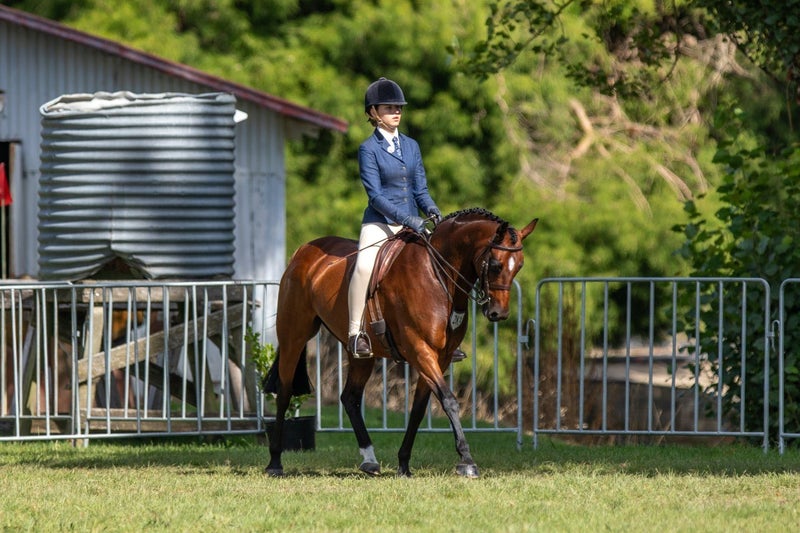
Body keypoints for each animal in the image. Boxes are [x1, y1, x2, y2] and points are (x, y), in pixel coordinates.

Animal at [264, 207, 538, 477]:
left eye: (519, 266)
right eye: (495, 265)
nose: (498, 313)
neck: (438, 276)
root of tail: (303, 251)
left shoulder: (441, 357)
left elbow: (418, 410)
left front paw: (404, 464)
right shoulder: (420, 350)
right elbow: (449, 400)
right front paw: (467, 461)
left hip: (362, 355)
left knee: (350, 398)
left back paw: (369, 460)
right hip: (294, 336)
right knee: (284, 392)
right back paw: (275, 462)